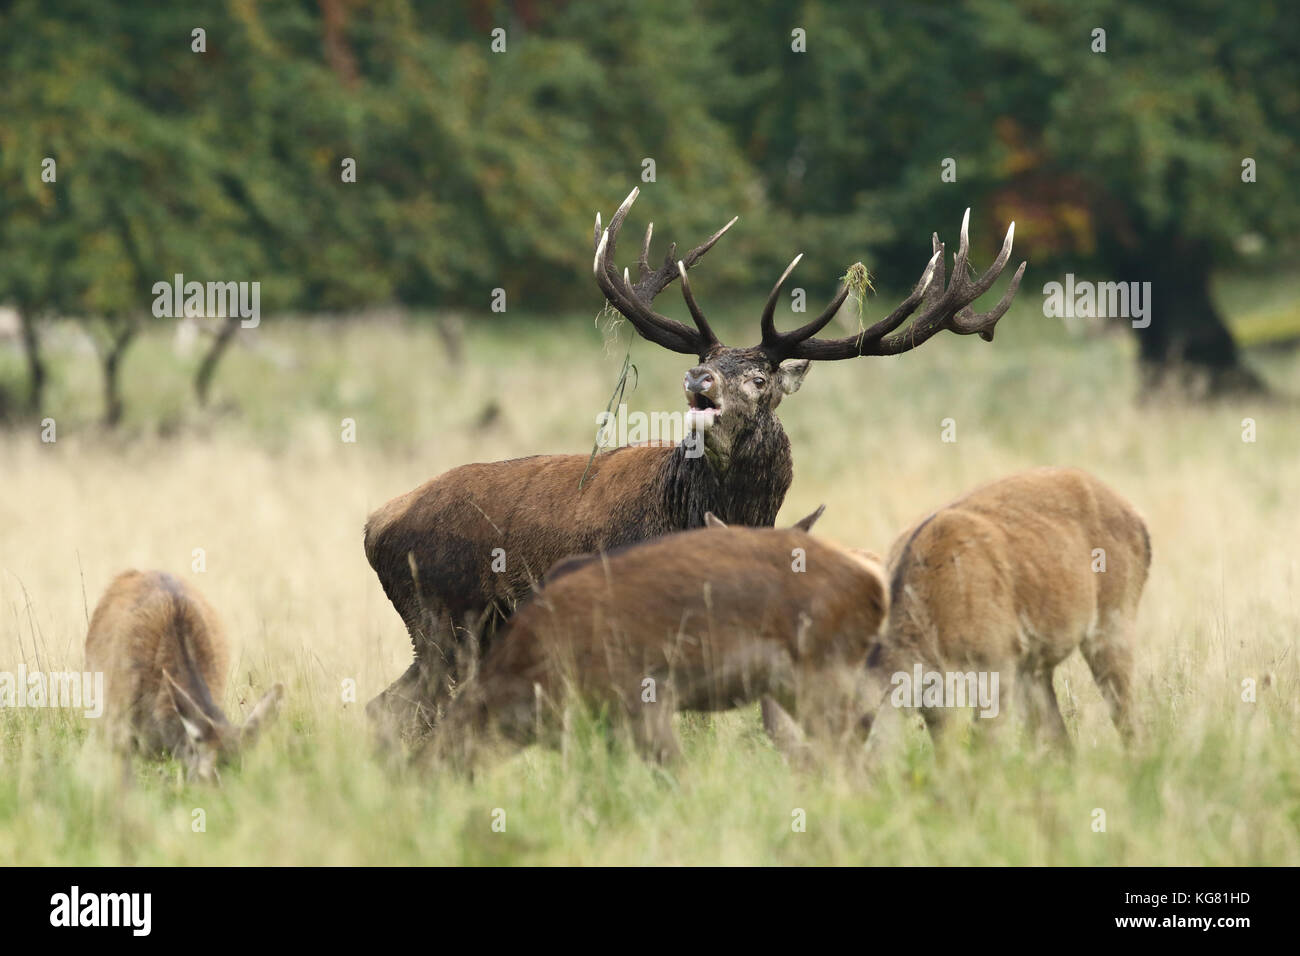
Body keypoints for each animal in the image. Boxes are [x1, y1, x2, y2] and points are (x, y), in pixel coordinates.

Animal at [365, 186, 1026, 740]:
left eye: (759, 378)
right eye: (705, 360)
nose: (697, 379)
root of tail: (376, 525)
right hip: (444, 621)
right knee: (399, 708)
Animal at [860, 468, 1150, 754]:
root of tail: (1139, 519)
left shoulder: (995, 659)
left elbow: (983, 743)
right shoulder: (936, 697)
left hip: (1115, 620)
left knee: (1127, 716)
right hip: (1035, 666)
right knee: (1060, 738)